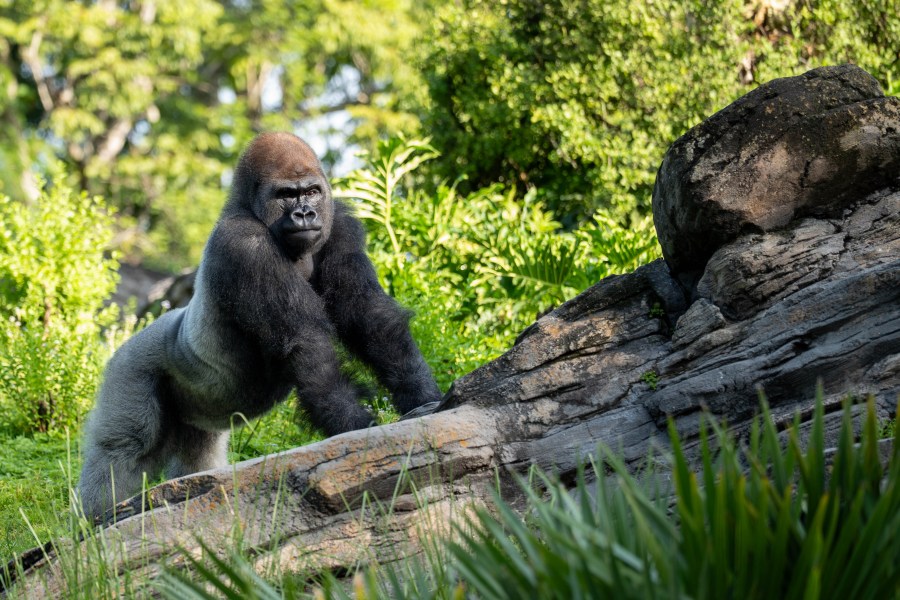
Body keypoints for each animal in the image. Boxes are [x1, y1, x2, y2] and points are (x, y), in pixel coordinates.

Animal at [77, 132, 442, 518]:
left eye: (312, 191)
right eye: (286, 195)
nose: (304, 213)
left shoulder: (340, 225)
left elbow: (369, 315)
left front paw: (423, 396)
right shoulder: (244, 244)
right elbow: (307, 342)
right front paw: (355, 426)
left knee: (197, 459)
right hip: (129, 367)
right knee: (125, 447)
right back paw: (96, 518)